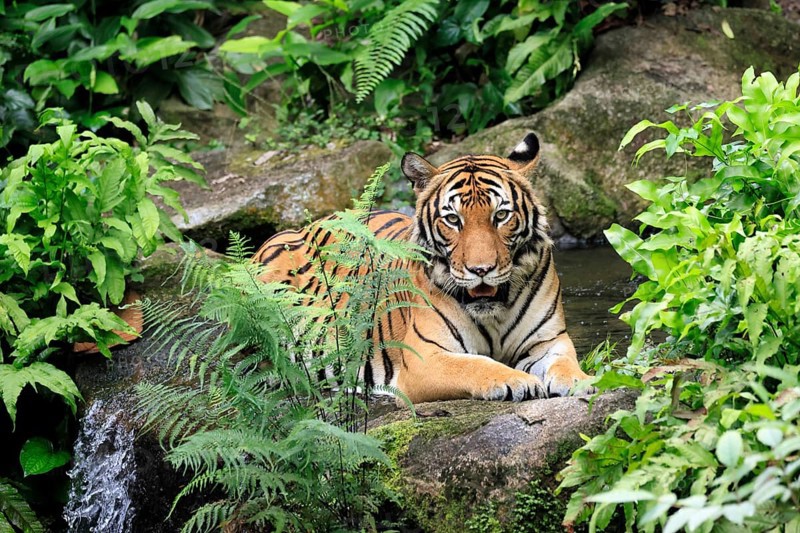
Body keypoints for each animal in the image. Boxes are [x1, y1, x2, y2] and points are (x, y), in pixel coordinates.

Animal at [253, 133, 593, 403]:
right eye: (453, 219)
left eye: (501, 215)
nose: (481, 270)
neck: (494, 312)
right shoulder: (424, 357)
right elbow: (474, 365)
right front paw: (517, 381)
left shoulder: (548, 342)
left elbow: (564, 362)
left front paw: (582, 382)